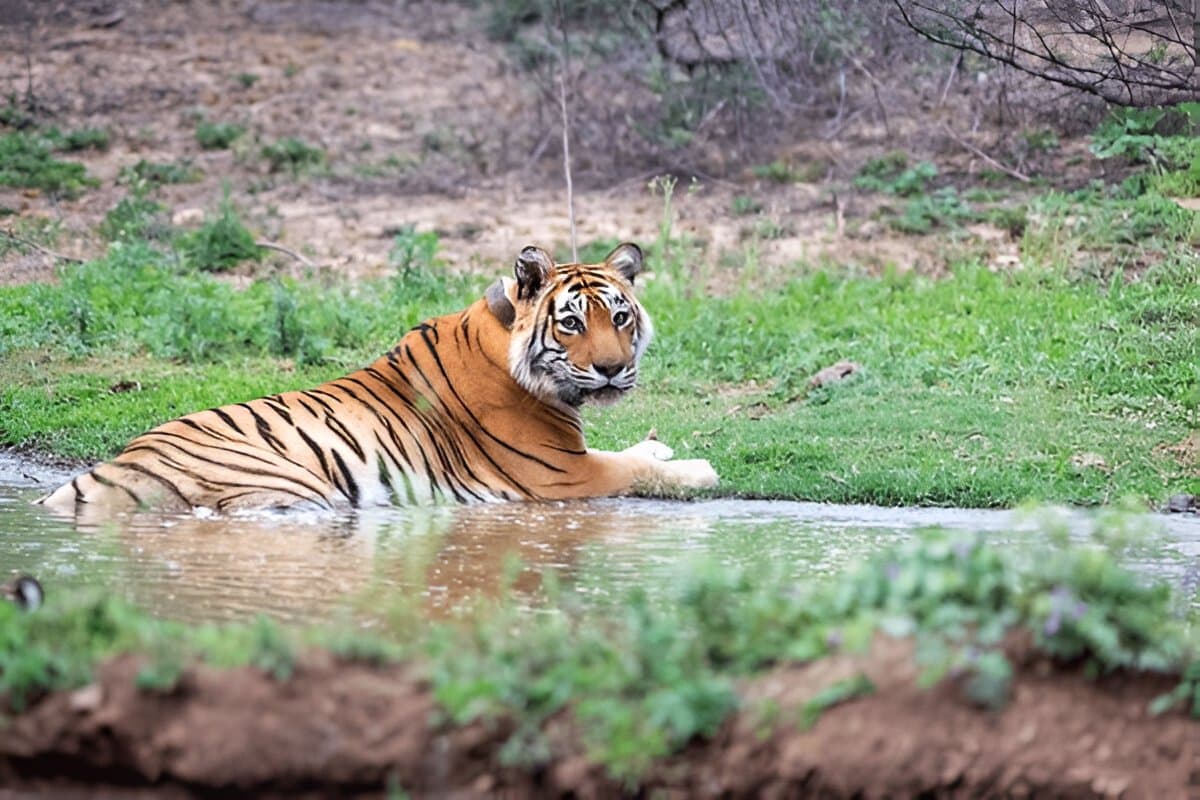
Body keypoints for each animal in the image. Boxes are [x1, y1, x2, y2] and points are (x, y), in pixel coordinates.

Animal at [37, 242, 718, 515]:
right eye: (572, 322)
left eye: (620, 317)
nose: (612, 368)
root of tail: (97, 474)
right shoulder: (562, 474)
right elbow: (632, 469)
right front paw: (697, 470)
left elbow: (634, 452)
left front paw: (658, 444)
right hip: (293, 485)